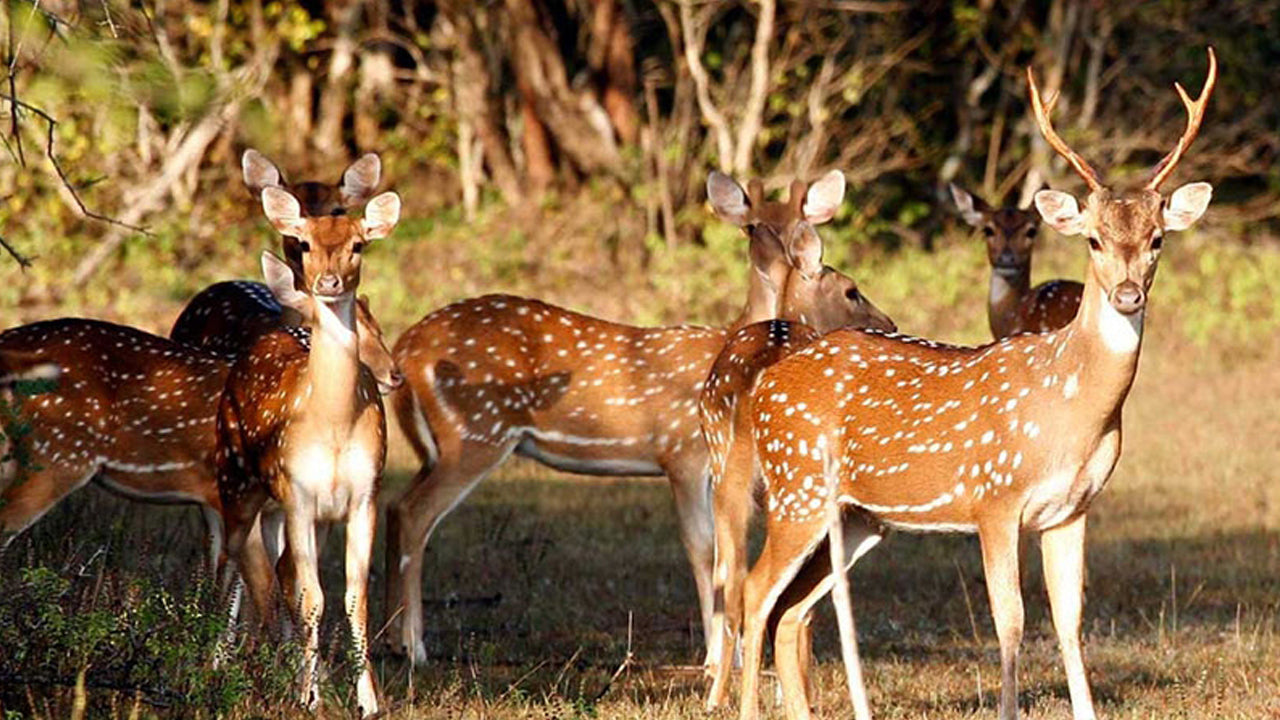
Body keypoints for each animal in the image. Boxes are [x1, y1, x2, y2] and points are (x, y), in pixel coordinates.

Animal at [213, 183, 399, 712]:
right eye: (307, 242)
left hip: (281, 510)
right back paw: (215, 662)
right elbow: (312, 597)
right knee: (229, 563)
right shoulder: (298, 494)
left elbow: (353, 596)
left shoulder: (362, 496)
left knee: (272, 572)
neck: (332, 424)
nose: (329, 281)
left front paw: (366, 700)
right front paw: (306, 697)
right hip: (235, 480)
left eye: (358, 244)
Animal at [384, 167, 896, 661]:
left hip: (442, 444)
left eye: (801, 220)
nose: (889, 322)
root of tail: (405, 349)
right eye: (751, 225)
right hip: (478, 432)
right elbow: (703, 549)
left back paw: (394, 639)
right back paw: (416, 647)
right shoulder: (683, 454)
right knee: (413, 512)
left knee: (395, 505)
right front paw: (717, 655)